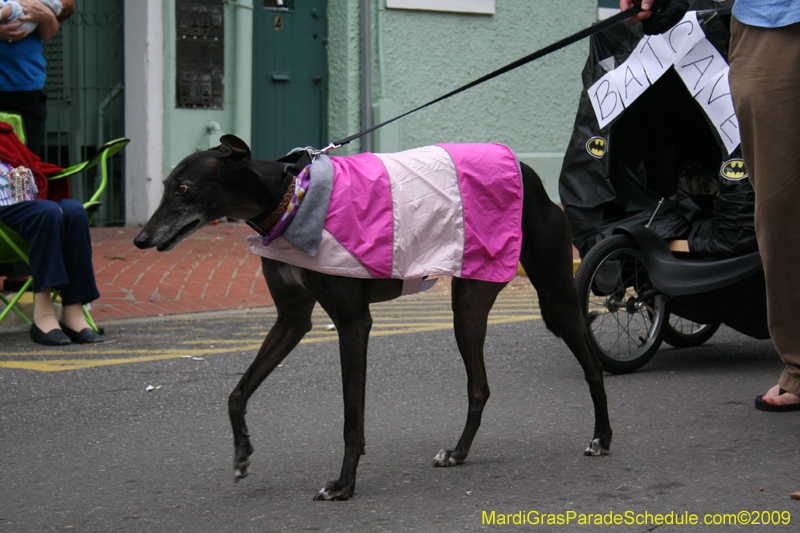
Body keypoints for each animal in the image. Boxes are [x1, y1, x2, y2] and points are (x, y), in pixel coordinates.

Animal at [134, 135, 608, 500]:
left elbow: (351, 417)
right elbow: (236, 394)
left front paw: (344, 484)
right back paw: (458, 453)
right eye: (166, 184)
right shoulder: (292, 319)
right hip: (470, 302)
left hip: (554, 295)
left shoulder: (353, 323)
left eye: (183, 187)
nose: (141, 239)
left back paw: (601, 438)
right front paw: (242, 454)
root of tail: (528, 172)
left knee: (591, 365)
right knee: (479, 387)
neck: (288, 199)